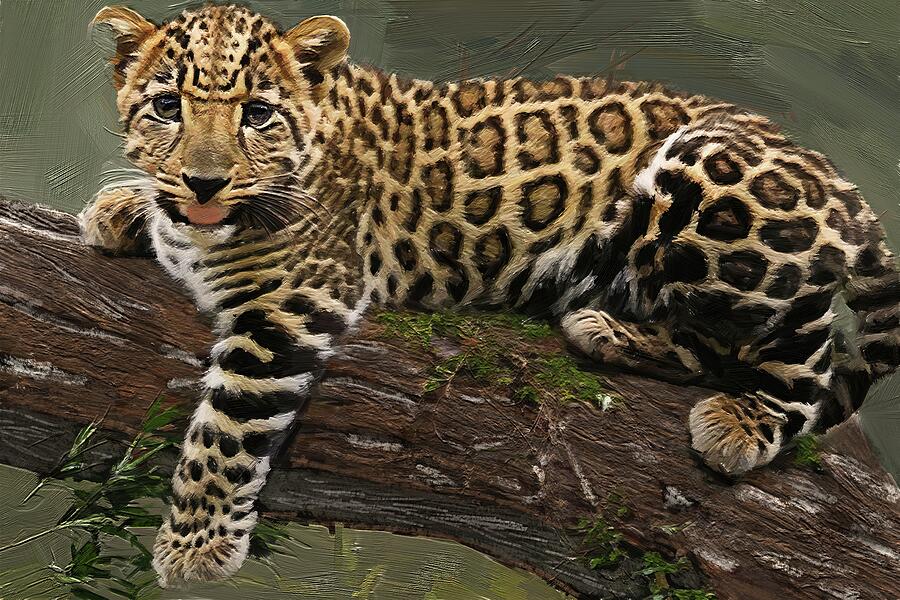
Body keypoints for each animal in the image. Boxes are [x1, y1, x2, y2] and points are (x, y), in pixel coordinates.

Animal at [80, 3, 900, 587]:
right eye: (166, 107)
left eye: (257, 113)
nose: (204, 182)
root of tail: (838, 182)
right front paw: (121, 208)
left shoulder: (299, 294)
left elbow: (227, 425)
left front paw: (193, 549)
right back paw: (605, 326)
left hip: (706, 178)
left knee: (804, 345)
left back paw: (739, 418)